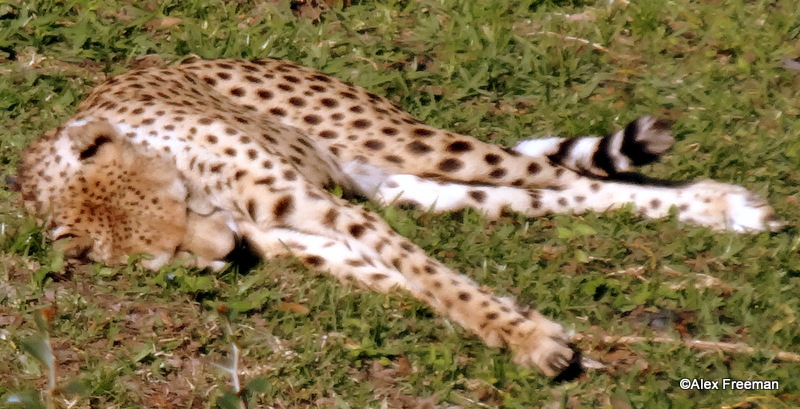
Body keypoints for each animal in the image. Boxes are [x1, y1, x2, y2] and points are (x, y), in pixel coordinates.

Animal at [15, 58, 785, 377]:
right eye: (169, 256)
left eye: (180, 199)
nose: (223, 246)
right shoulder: (293, 238)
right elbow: (410, 282)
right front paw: (535, 326)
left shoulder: (317, 206)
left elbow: (425, 271)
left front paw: (529, 339)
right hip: (406, 184)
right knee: (554, 196)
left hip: (405, 143)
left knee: (564, 176)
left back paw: (721, 204)